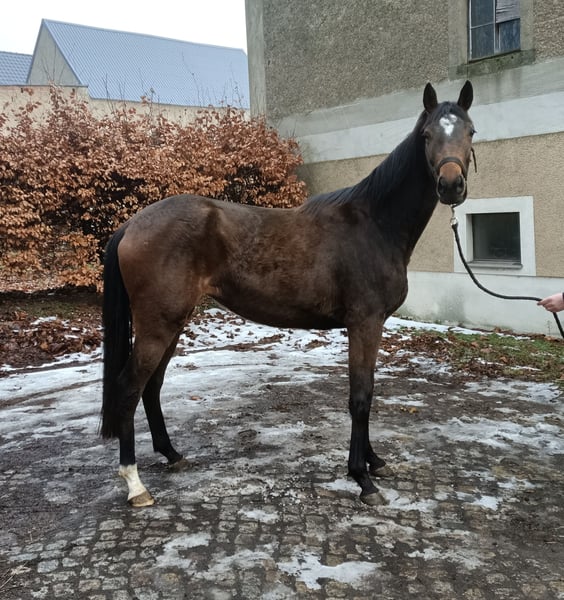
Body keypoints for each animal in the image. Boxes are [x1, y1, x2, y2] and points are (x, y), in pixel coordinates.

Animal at [101, 81, 475, 507]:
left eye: (470, 132)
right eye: (427, 135)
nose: (451, 185)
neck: (374, 223)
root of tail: (131, 224)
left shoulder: (371, 326)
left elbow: (368, 391)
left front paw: (373, 461)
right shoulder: (364, 324)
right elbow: (360, 397)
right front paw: (362, 478)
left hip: (172, 323)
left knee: (152, 387)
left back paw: (172, 454)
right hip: (157, 326)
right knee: (129, 389)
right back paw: (135, 485)